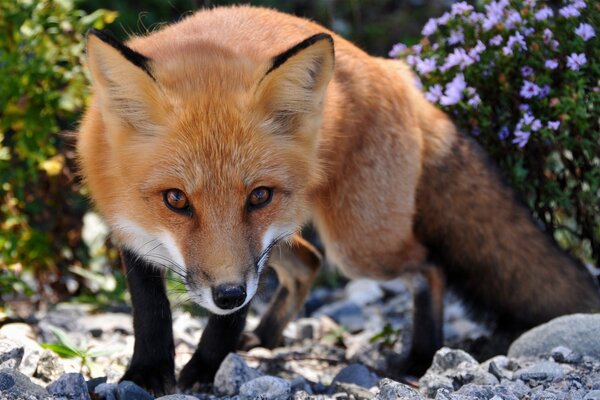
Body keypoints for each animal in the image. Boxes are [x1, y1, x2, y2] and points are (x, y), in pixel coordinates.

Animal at [77, 4, 600, 396]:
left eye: (258, 195)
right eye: (176, 200)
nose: (227, 295)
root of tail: (396, 72)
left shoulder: (251, 255)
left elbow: (224, 315)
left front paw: (206, 368)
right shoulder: (129, 226)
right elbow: (150, 311)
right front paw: (147, 373)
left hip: (358, 244)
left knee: (429, 266)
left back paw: (420, 356)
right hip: (297, 238)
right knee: (309, 263)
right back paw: (266, 337)